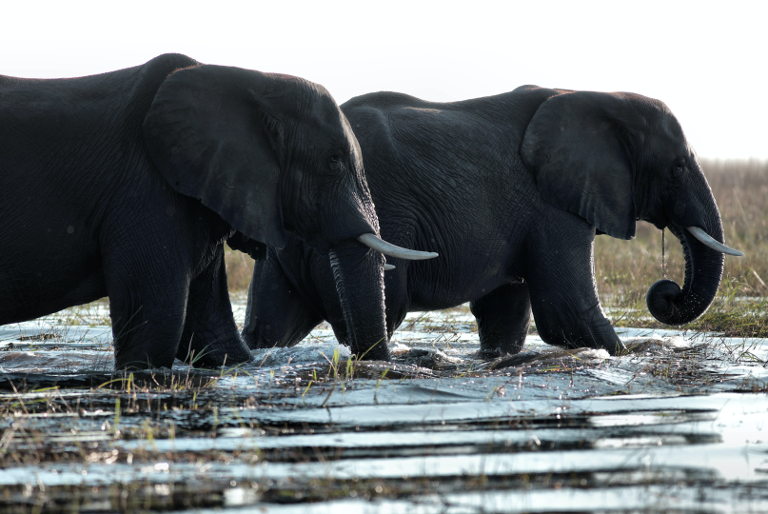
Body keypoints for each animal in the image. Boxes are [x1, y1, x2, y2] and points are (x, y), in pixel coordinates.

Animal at [0, 53, 436, 370]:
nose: (364, 361)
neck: (251, 82)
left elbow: (215, 340)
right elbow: (154, 333)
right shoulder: (145, 191)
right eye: (333, 161)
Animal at [243, 85, 742, 358]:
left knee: (271, 325)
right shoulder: (551, 207)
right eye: (677, 167)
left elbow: (505, 315)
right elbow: (568, 312)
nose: (666, 292)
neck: (596, 95)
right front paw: (627, 356)